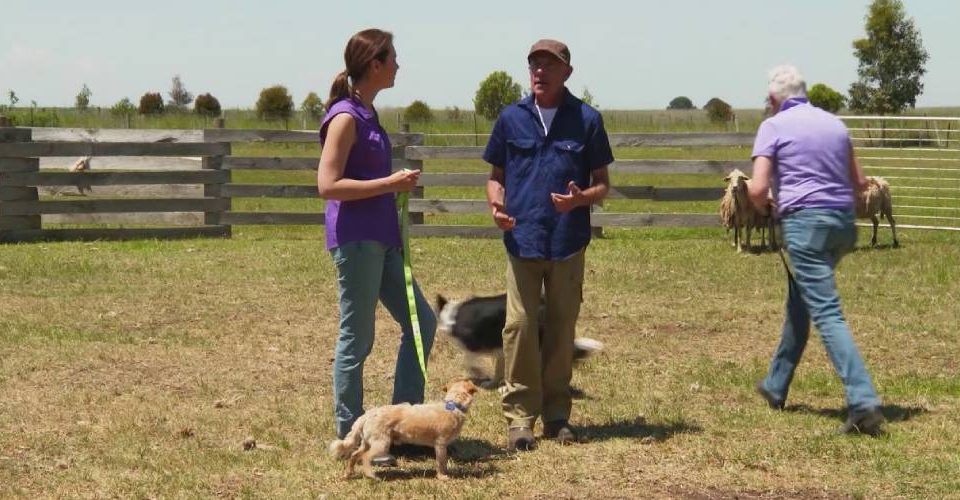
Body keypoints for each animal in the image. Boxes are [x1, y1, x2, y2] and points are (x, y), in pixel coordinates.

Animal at [330, 378, 480, 480]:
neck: (453, 405)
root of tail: (366, 415)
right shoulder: (440, 444)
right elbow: (441, 462)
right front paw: (442, 476)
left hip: (367, 443)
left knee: (354, 455)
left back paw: (348, 474)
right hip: (381, 444)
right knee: (365, 458)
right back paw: (371, 475)